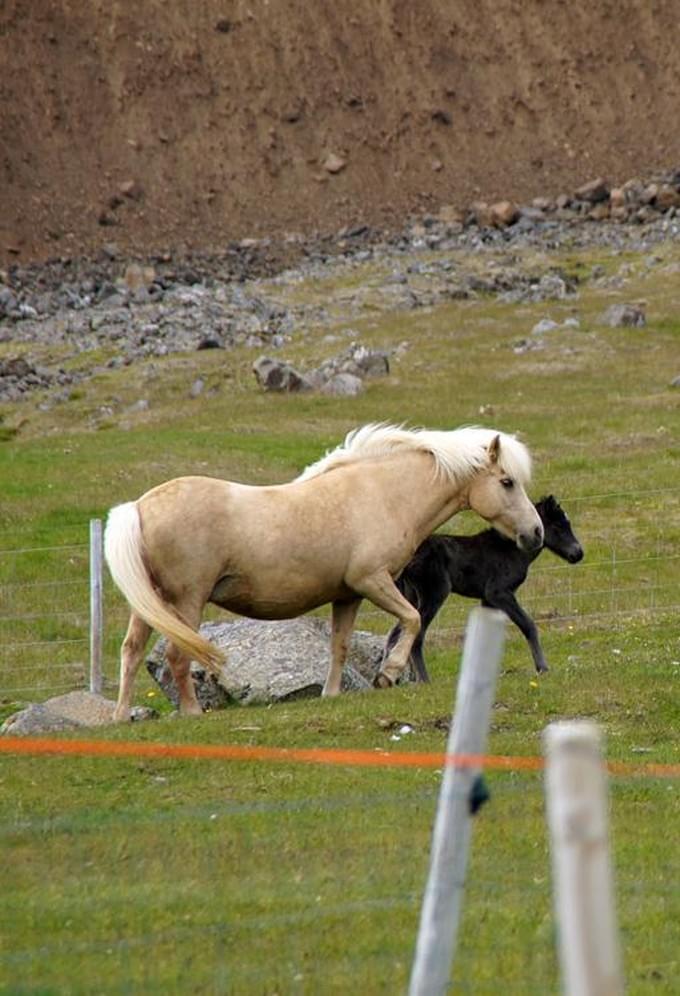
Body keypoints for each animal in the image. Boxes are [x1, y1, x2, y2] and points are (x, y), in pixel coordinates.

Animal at [105, 424, 540, 720]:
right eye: (507, 482)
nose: (535, 534)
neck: (383, 494)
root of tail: (140, 506)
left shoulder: (348, 595)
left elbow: (340, 646)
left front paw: (331, 695)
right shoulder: (373, 581)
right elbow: (412, 620)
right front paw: (388, 674)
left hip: (152, 603)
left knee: (131, 651)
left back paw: (121, 717)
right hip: (187, 601)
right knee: (178, 654)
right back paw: (193, 713)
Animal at [386, 496, 580, 680]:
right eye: (558, 526)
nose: (578, 554)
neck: (512, 550)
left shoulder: (487, 599)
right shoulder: (498, 592)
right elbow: (528, 625)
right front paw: (542, 668)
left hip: (410, 597)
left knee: (396, 634)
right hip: (435, 593)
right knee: (416, 636)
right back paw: (424, 680)